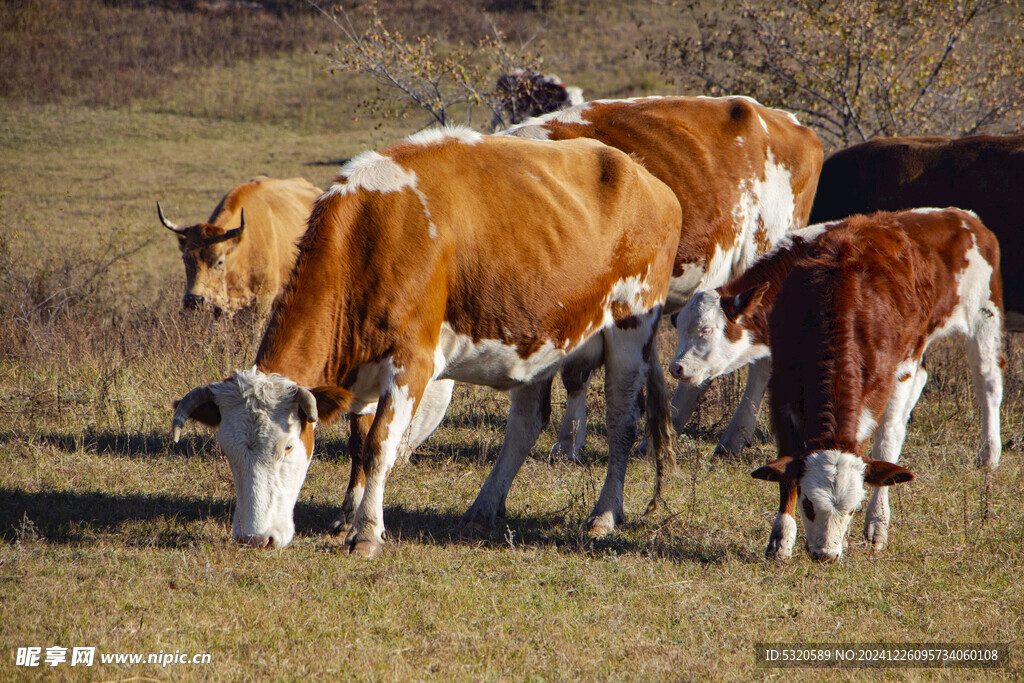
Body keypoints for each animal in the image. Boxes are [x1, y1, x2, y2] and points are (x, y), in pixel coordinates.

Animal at [675, 208, 1003, 561]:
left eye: (706, 330)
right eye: (808, 504)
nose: (676, 367)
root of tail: (962, 217)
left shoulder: (883, 385)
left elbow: (882, 441)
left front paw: (875, 523)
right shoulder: (784, 384)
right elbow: (787, 460)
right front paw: (781, 538)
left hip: (981, 319)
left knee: (984, 384)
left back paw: (988, 453)